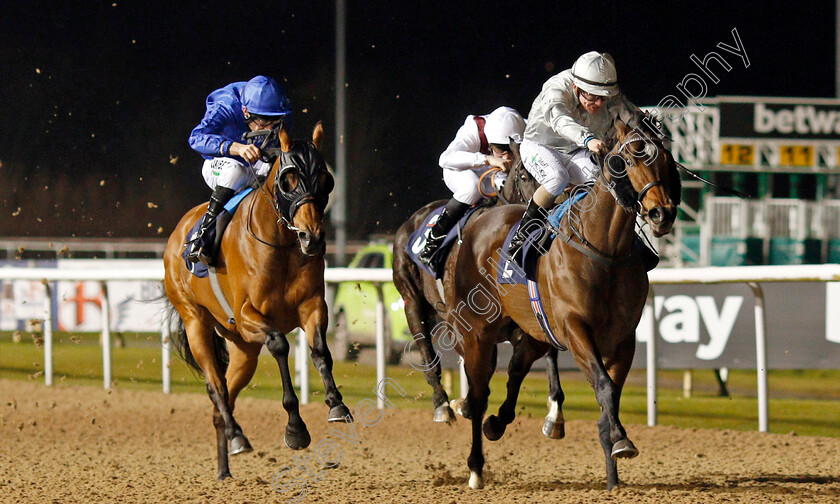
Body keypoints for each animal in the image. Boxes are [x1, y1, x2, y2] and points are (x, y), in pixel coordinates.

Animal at [162, 123, 350, 480]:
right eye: (287, 179)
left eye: (325, 179)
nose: (312, 238)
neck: (282, 245)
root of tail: (178, 232)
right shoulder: (249, 315)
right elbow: (279, 344)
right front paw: (296, 429)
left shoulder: (312, 306)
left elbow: (321, 351)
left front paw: (337, 404)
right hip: (196, 323)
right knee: (215, 387)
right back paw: (237, 436)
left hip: (243, 349)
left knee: (223, 399)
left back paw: (225, 468)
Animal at [442, 120, 680, 490]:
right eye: (629, 159)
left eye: (667, 161)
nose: (662, 213)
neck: (604, 249)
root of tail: (481, 221)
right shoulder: (576, 329)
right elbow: (604, 386)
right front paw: (621, 441)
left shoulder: (623, 338)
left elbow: (609, 394)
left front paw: (613, 473)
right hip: (478, 331)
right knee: (479, 394)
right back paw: (476, 467)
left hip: (534, 332)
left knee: (515, 370)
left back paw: (497, 424)